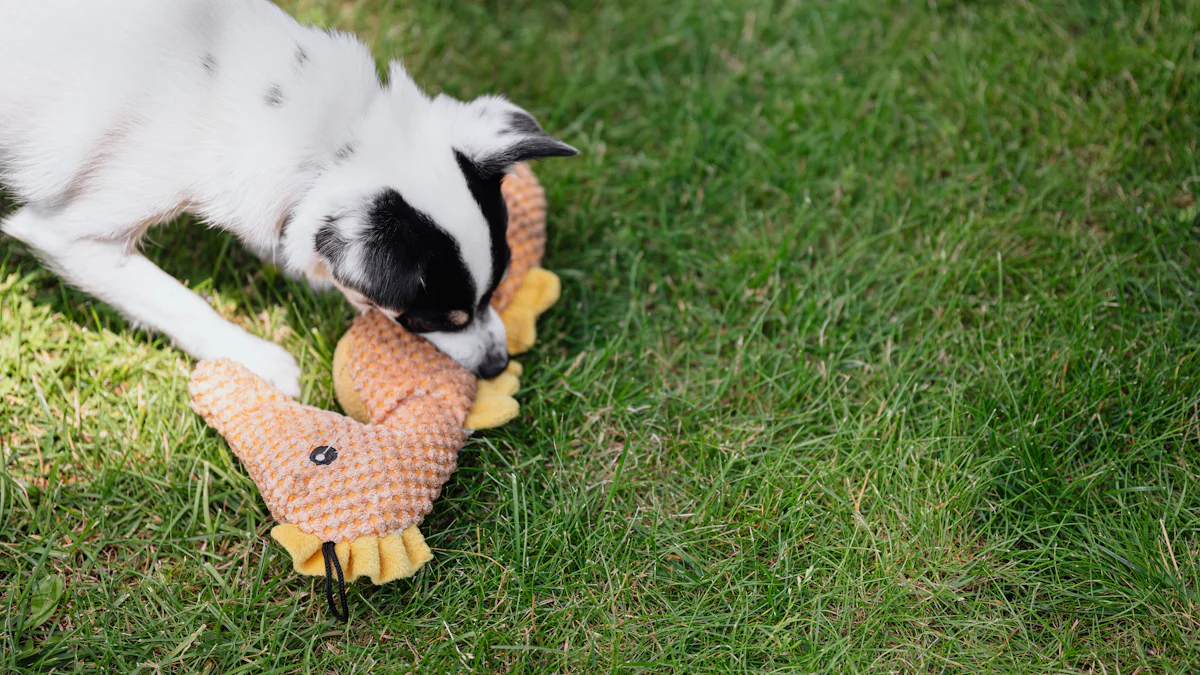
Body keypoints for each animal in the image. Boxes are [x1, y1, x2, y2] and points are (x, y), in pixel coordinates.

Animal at [0, 0, 576, 396]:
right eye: (437, 318)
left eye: (494, 292)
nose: (498, 365)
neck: (325, 136)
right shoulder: (72, 236)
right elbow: (178, 301)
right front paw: (257, 360)